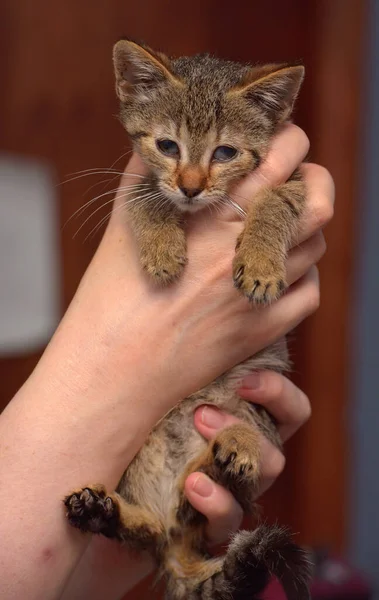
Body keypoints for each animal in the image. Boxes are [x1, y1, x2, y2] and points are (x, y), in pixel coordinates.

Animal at [64, 42, 312, 600]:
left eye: (225, 153)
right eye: (167, 146)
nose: (192, 188)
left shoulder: (298, 178)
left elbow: (276, 199)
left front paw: (261, 260)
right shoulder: (139, 177)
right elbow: (144, 197)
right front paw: (161, 245)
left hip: (252, 409)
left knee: (223, 490)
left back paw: (231, 448)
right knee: (156, 530)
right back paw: (106, 512)